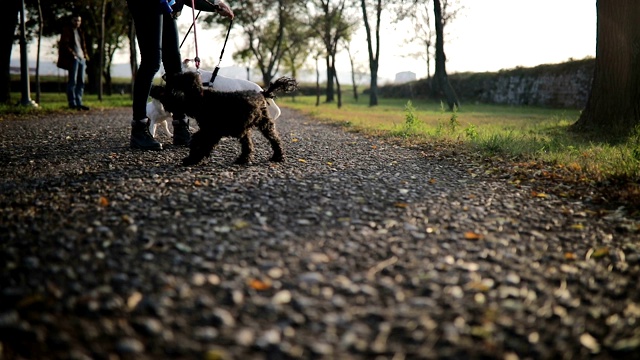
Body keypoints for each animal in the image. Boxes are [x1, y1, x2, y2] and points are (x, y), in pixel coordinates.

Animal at [152, 71, 298, 166]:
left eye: (171, 87)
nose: (154, 88)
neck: (203, 99)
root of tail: (262, 93)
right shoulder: (209, 130)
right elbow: (199, 141)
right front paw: (195, 157)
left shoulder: (212, 130)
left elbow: (201, 142)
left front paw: (193, 159)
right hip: (244, 128)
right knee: (248, 144)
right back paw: (243, 159)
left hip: (264, 122)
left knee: (274, 139)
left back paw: (278, 157)